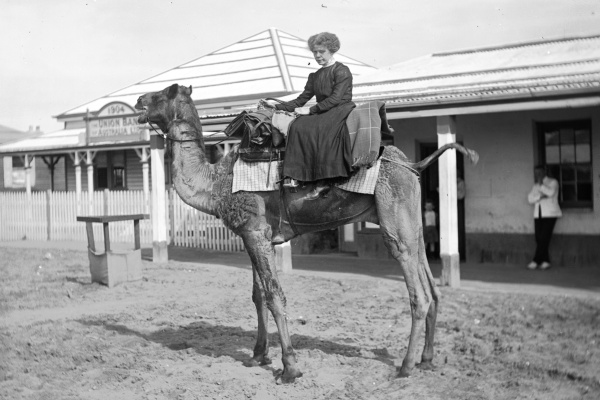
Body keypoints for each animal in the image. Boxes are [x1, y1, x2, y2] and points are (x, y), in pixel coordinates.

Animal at [136, 83, 478, 382]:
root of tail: (411, 165)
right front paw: (257, 356)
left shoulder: (255, 233)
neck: (216, 182)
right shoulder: (254, 234)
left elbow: (275, 296)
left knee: (418, 294)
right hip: (412, 224)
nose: (139, 101)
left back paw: (405, 367)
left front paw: (290, 368)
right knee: (432, 286)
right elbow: (257, 295)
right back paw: (427, 359)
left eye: (164, 93)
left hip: (395, 222)